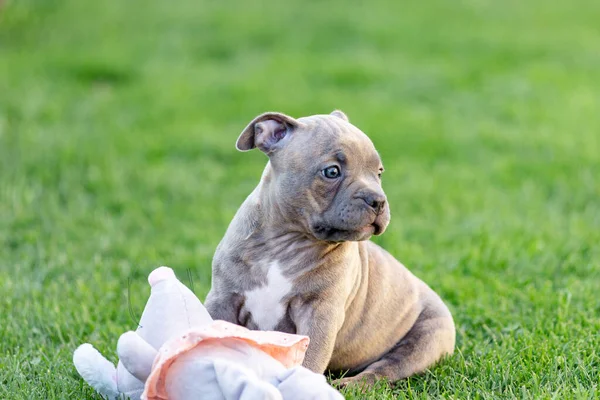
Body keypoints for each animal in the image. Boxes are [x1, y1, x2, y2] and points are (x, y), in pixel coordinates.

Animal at [205, 111, 454, 386]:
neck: (285, 242)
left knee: (385, 369)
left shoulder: (319, 315)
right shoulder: (223, 300)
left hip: (426, 338)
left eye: (378, 173)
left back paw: (351, 385)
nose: (378, 200)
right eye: (332, 171)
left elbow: (310, 359)